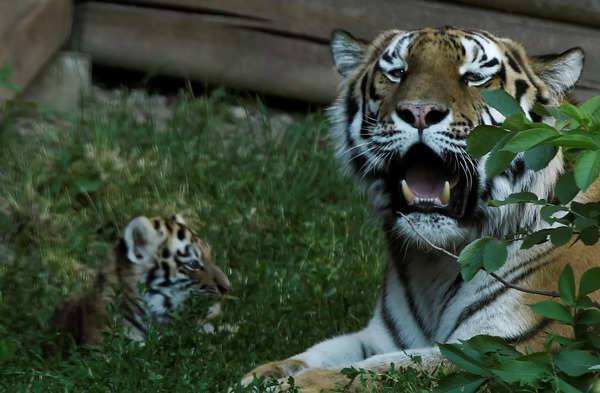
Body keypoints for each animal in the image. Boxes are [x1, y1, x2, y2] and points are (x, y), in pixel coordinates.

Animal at [240, 26, 600, 388]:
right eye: (397, 73)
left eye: (475, 77)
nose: (419, 112)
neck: (434, 263)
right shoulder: (385, 335)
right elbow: (328, 351)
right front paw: (261, 374)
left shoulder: (502, 352)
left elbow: (376, 371)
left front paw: (291, 385)